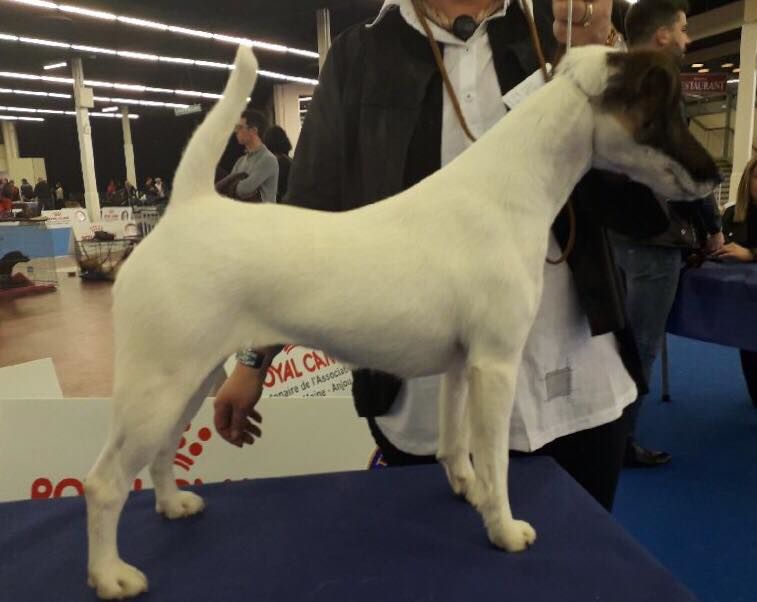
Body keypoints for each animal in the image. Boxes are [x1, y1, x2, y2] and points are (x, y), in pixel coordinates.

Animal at [84, 44, 720, 599]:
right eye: (671, 111)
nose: (713, 175)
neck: (509, 189)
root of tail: (187, 209)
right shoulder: (496, 365)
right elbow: (495, 457)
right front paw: (503, 527)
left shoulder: (464, 367)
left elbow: (455, 442)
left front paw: (466, 489)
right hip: (159, 383)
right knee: (105, 482)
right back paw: (112, 576)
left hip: (185, 381)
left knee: (162, 450)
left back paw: (173, 505)